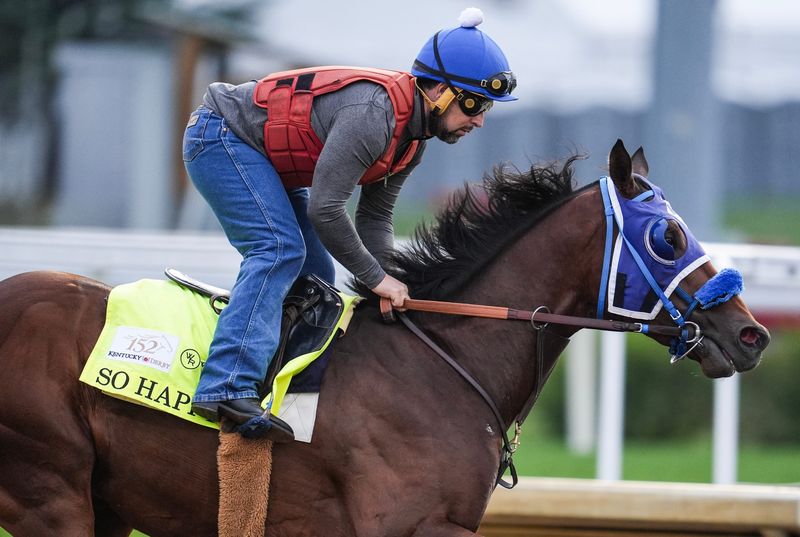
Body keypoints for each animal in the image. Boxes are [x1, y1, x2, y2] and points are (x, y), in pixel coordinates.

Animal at [0, 140, 769, 536]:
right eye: (668, 237)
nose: (752, 333)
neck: (445, 361)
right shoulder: (404, 523)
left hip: (102, 503)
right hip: (51, 492)